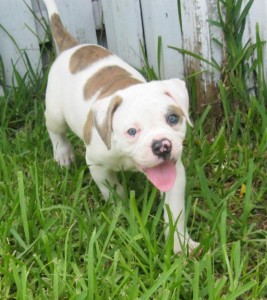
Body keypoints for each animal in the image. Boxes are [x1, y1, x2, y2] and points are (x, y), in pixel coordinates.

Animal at [43, 0, 200, 253]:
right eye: (132, 132)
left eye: (173, 119)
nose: (162, 146)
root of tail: (71, 47)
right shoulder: (97, 165)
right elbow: (113, 191)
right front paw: (123, 212)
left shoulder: (175, 173)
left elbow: (175, 211)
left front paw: (180, 243)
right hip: (55, 111)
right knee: (55, 129)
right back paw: (63, 153)